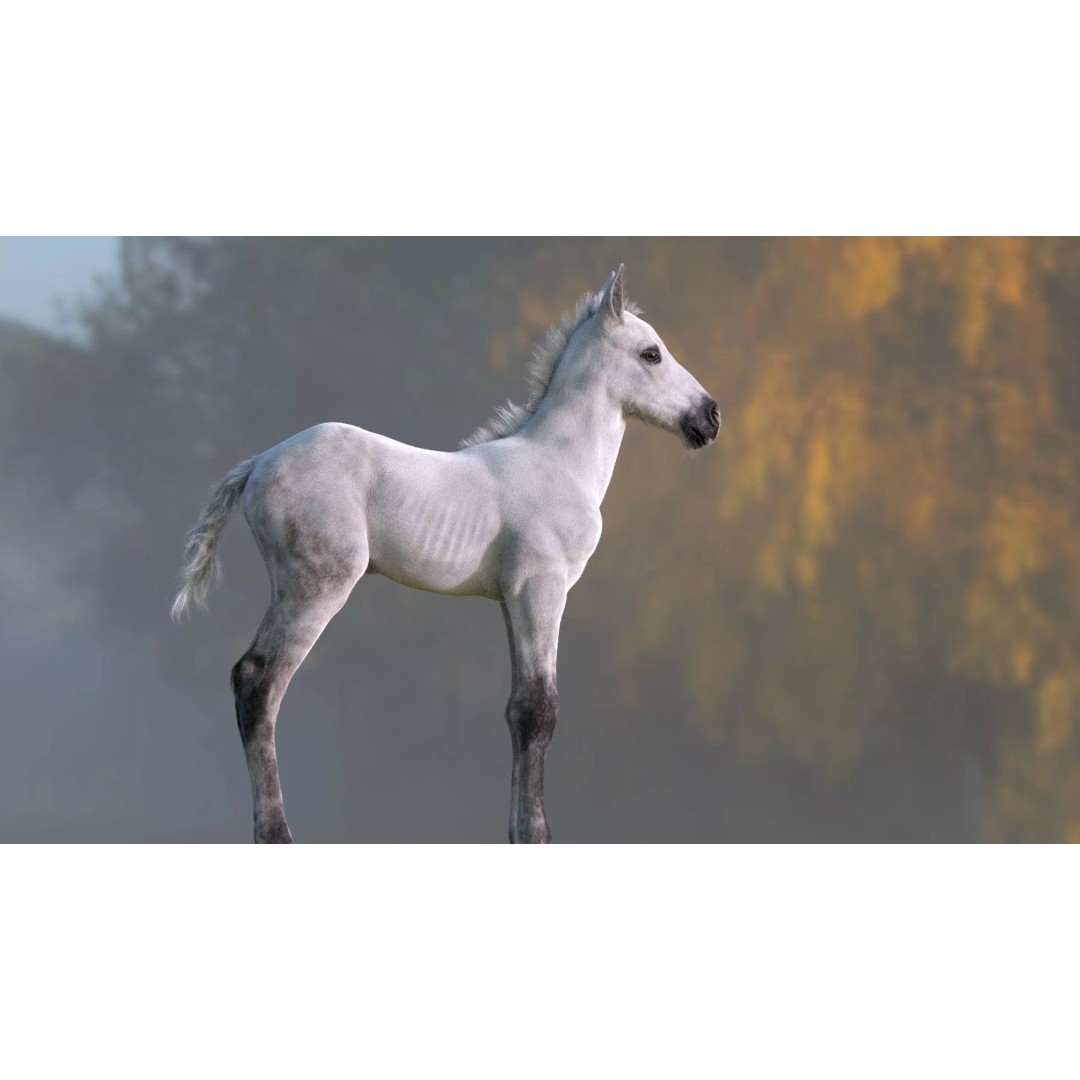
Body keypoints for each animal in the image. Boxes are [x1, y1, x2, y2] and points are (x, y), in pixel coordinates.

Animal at [171, 265, 720, 842]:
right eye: (651, 353)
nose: (710, 417)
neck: (559, 464)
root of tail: (258, 463)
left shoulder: (512, 600)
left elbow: (517, 710)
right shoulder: (542, 591)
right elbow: (540, 710)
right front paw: (536, 834)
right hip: (314, 588)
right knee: (259, 682)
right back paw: (276, 833)